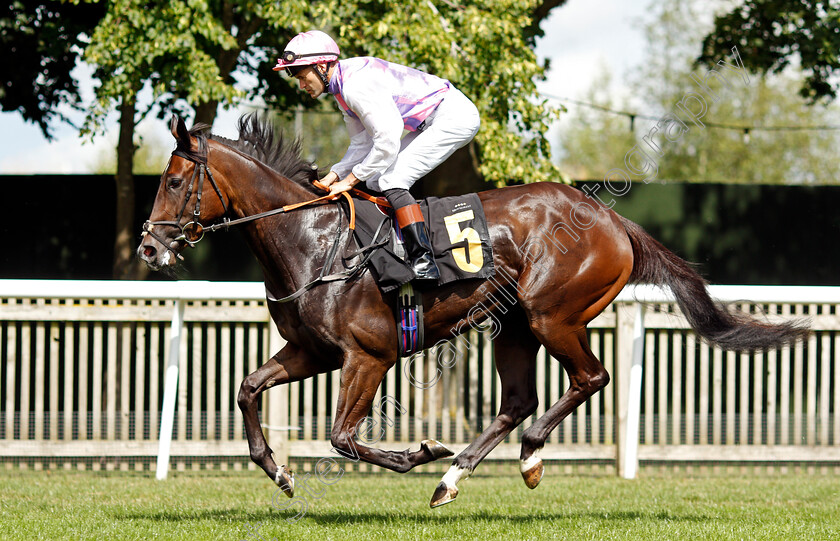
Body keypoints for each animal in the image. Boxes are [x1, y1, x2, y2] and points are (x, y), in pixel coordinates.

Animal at [139, 114, 812, 506]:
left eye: (173, 182)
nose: (149, 246)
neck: (312, 241)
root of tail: (612, 218)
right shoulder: (312, 352)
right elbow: (249, 388)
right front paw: (280, 473)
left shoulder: (369, 356)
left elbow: (343, 437)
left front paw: (420, 452)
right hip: (511, 326)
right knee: (518, 400)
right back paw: (456, 477)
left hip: (550, 315)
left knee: (590, 377)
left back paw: (519, 456)